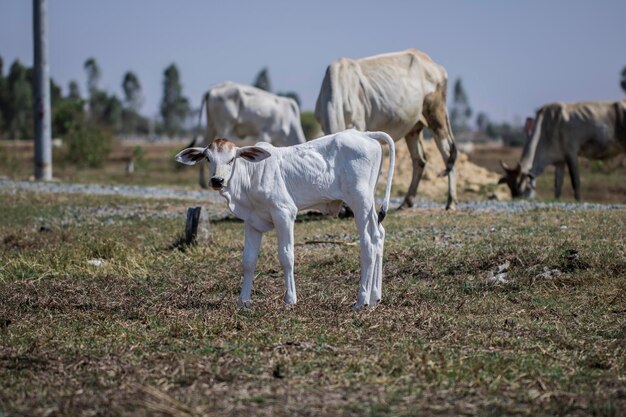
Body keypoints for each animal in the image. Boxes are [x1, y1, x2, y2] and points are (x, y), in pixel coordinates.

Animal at [173, 129, 392, 308]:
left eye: (232, 159)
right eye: (208, 158)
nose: (217, 180)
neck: (250, 175)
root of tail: (364, 134)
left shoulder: (284, 214)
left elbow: (287, 257)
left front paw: (290, 299)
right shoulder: (252, 223)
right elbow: (248, 261)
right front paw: (243, 301)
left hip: (359, 201)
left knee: (368, 244)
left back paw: (361, 301)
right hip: (368, 204)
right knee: (378, 235)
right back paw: (375, 298)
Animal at [314, 48, 456, 210]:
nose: (345, 210)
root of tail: (433, 64)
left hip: (436, 115)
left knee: (447, 153)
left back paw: (451, 202)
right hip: (413, 128)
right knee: (419, 160)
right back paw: (406, 202)